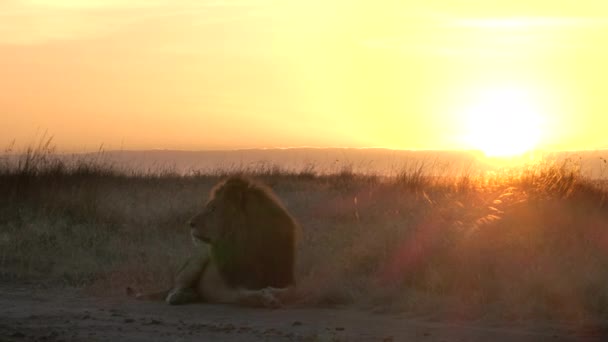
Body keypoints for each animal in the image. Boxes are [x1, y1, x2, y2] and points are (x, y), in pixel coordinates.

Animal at [127, 176, 296, 308]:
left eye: (213, 208)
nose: (190, 223)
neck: (251, 242)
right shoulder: (231, 288)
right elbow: (248, 295)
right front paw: (267, 298)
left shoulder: (287, 278)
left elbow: (290, 291)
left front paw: (272, 294)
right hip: (197, 261)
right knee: (175, 288)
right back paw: (178, 296)